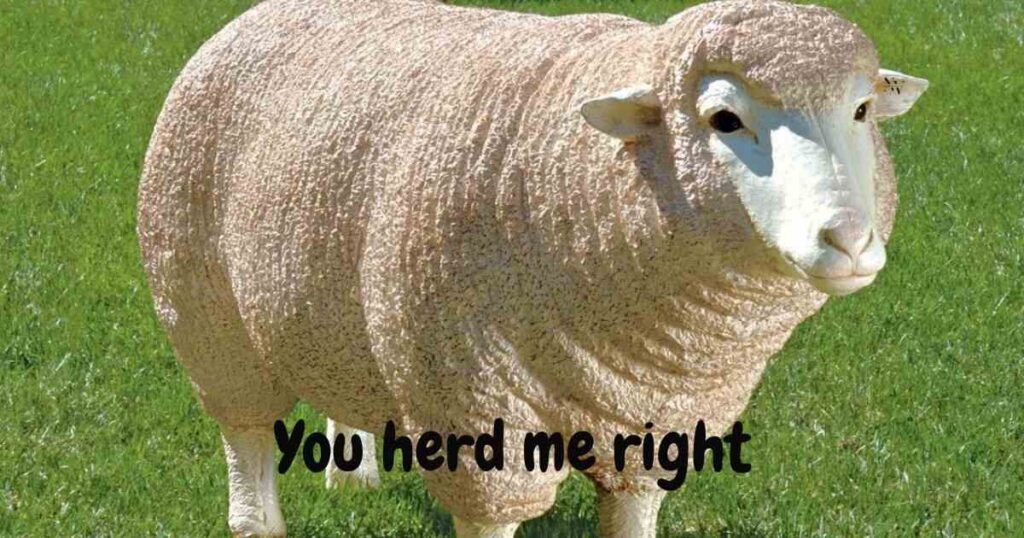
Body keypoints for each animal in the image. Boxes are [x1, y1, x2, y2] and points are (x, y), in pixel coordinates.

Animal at [136, 0, 927, 536]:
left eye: (862, 110)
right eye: (723, 119)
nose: (850, 240)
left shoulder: (657, 413)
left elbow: (633, 511)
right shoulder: (472, 402)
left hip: (321, 298)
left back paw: (353, 478)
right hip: (205, 313)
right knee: (246, 440)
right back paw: (262, 517)